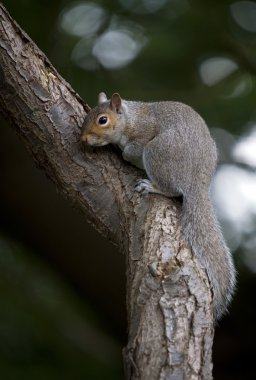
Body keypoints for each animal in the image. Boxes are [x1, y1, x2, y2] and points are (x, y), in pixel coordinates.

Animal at [81, 93, 236, 320]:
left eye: (103, 120)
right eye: (87, 116)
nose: (83, 139)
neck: (130, 118)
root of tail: (197, 183)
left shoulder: (144, 133)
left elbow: (131, 150)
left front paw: (122, 151)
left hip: (158, 152)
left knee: (171, 189)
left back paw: (152, 186)